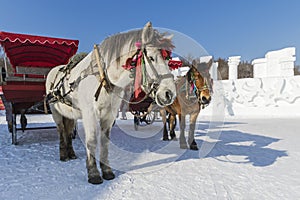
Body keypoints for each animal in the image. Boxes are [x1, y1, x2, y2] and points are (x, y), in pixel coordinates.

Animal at [46, 22, 177, 184]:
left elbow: (105, 142)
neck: (103, 77)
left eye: (168, 60)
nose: (169, 94)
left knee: (69, 131)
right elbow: (91, 141)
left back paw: (71, 153)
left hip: (70, 114)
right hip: (55, 111)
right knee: (61, 131)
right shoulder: (90, 114)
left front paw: (107, 170)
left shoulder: (109, 115)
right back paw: (63, 154)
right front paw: (93, 173)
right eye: (151, 58)